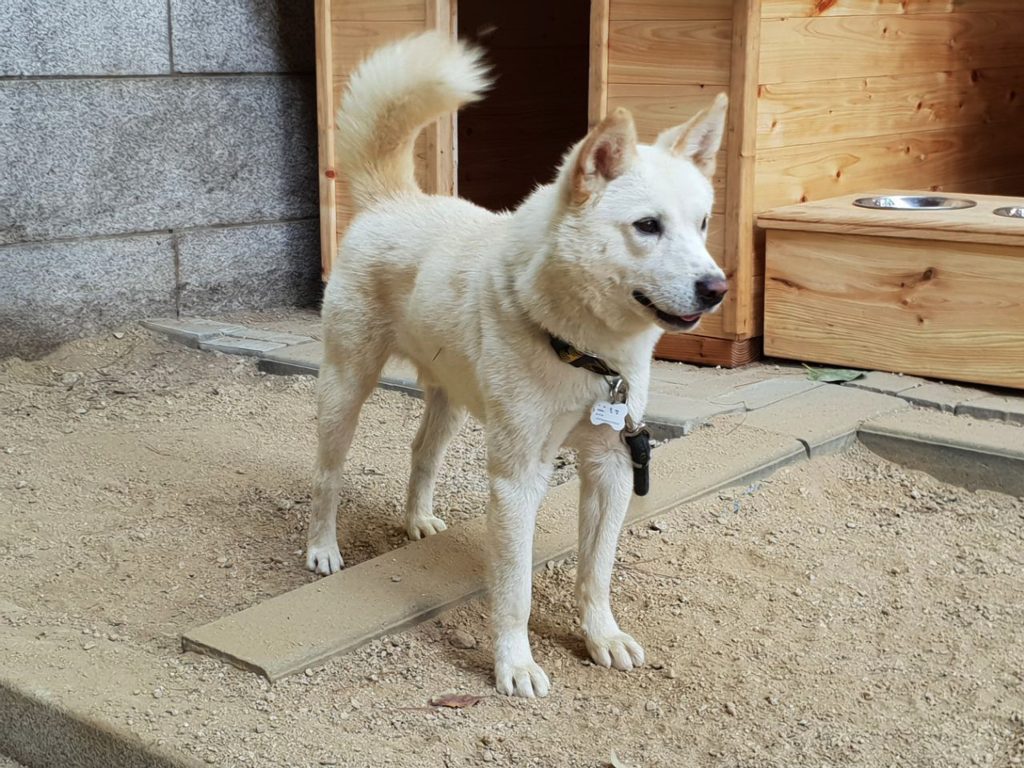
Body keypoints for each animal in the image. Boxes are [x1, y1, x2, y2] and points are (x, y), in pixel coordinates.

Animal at [305, 33, 729, 700]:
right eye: (647, 226)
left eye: (704, 222)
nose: (717, 288)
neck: (585, 352)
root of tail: (394, 201)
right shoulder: (517, 476)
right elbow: (515, 588)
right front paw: (515, 664)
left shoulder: (610, 465)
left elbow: (597, 571)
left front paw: (601, 637)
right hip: (346, 387)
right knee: (327, 475)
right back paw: (322, 549)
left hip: (451, 400)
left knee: (421, 453)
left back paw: (418, 519)